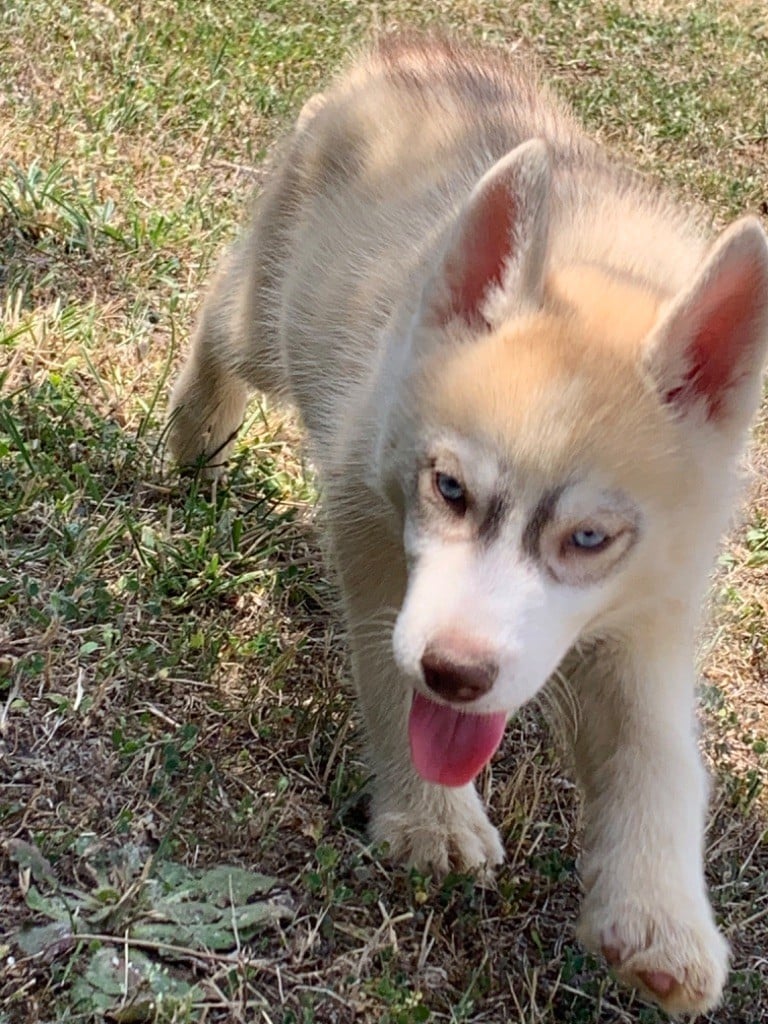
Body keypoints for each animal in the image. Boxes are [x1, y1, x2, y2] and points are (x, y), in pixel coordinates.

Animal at [167, 33, 768, 1015]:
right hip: (275, 314)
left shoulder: (651, 609)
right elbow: (387, 668)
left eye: (590, 539)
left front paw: (662, 915)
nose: (457, 673)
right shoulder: (366, 512)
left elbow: (660, 753)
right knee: (223, 312)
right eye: (448, 488)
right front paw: (431, 816)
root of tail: (421, 50)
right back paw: (195, 428)